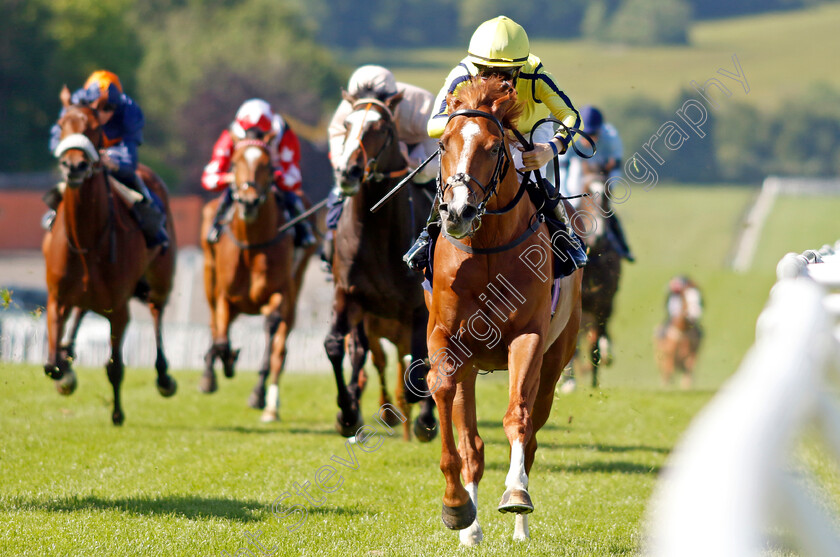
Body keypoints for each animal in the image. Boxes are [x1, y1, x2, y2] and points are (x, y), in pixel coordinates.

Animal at [44, 89, 177, 424]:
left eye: (94, 127)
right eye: (61, 124)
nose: (74, 166)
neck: (86, 239)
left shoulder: (119, 308)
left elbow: (115, 366)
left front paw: (117, 413)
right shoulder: (57, 297)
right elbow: (52, 366)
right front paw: (65, 369)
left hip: (160, 278)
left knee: (156, 312)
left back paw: (164, 377)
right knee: (79, 312)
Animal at [199, 136, 314, 422]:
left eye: (268, 164)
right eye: (234, 163)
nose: (249, 201)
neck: (252, 243)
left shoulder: (280, 291)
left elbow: (272, 330)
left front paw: (257, 393)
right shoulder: (224, 294)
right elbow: (221, 336)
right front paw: (225, 362)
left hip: (296, 286)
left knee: (280, 349)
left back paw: (271, 405)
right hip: (209, 274)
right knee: (214, 323)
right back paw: (209, 374)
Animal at [324, 93, 436, 440]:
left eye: (381, 127)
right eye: (347, 124)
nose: (348, 172)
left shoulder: (419, 306)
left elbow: (421, 360)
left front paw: (424, 418)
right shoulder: (347, 293)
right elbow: (335, 346)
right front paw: (347, 413)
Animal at [426, 78, 584, 544]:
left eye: (495, 147)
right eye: (443, 144)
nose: (458, 212)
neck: (486, 247)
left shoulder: (527, 337)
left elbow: (517, 417)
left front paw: (516, 493)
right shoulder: (446, 337)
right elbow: (444, 396)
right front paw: (457, 507)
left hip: (555, 359)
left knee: (531, 432)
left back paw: (520, 527)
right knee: (473, 444)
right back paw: (472, 528)